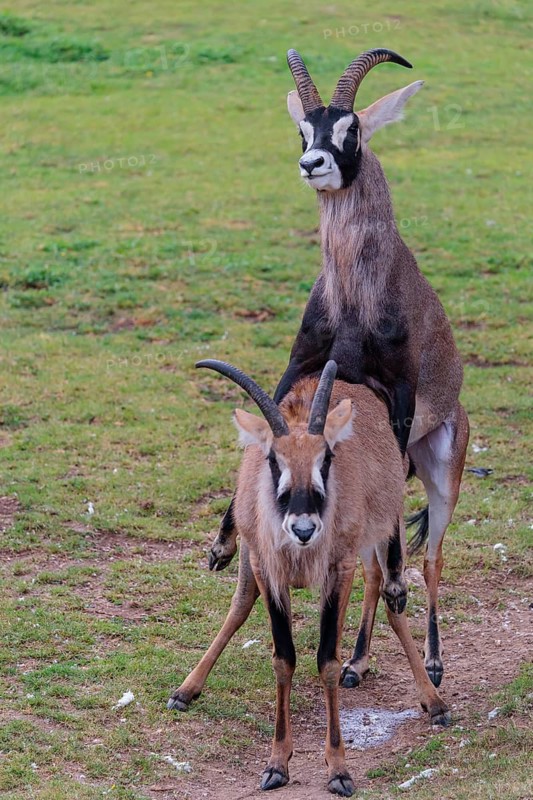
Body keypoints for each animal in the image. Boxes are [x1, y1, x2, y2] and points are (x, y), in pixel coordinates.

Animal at [168, 360, 450, 797]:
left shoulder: (338, 571)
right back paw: (187, 689)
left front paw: (338, 769)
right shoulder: (269, 572)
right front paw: (276, 764)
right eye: (273, 459)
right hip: (258, 559)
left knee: (392, 599)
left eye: (326, 458)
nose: (303, 529)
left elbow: (327, 661)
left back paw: (433, 701)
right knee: (242, 604)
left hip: (383, 535)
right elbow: (283, 659)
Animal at [210, 49, 469, 689]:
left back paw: (431, 659)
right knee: (373, 562)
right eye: (303, 130)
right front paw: (222, 545)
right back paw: (355, 660)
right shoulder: (299, 365)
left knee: (431, 557)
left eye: (350, 127)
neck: (354, 299)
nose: (312, 163)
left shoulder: (398, 392)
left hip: (439, 473)